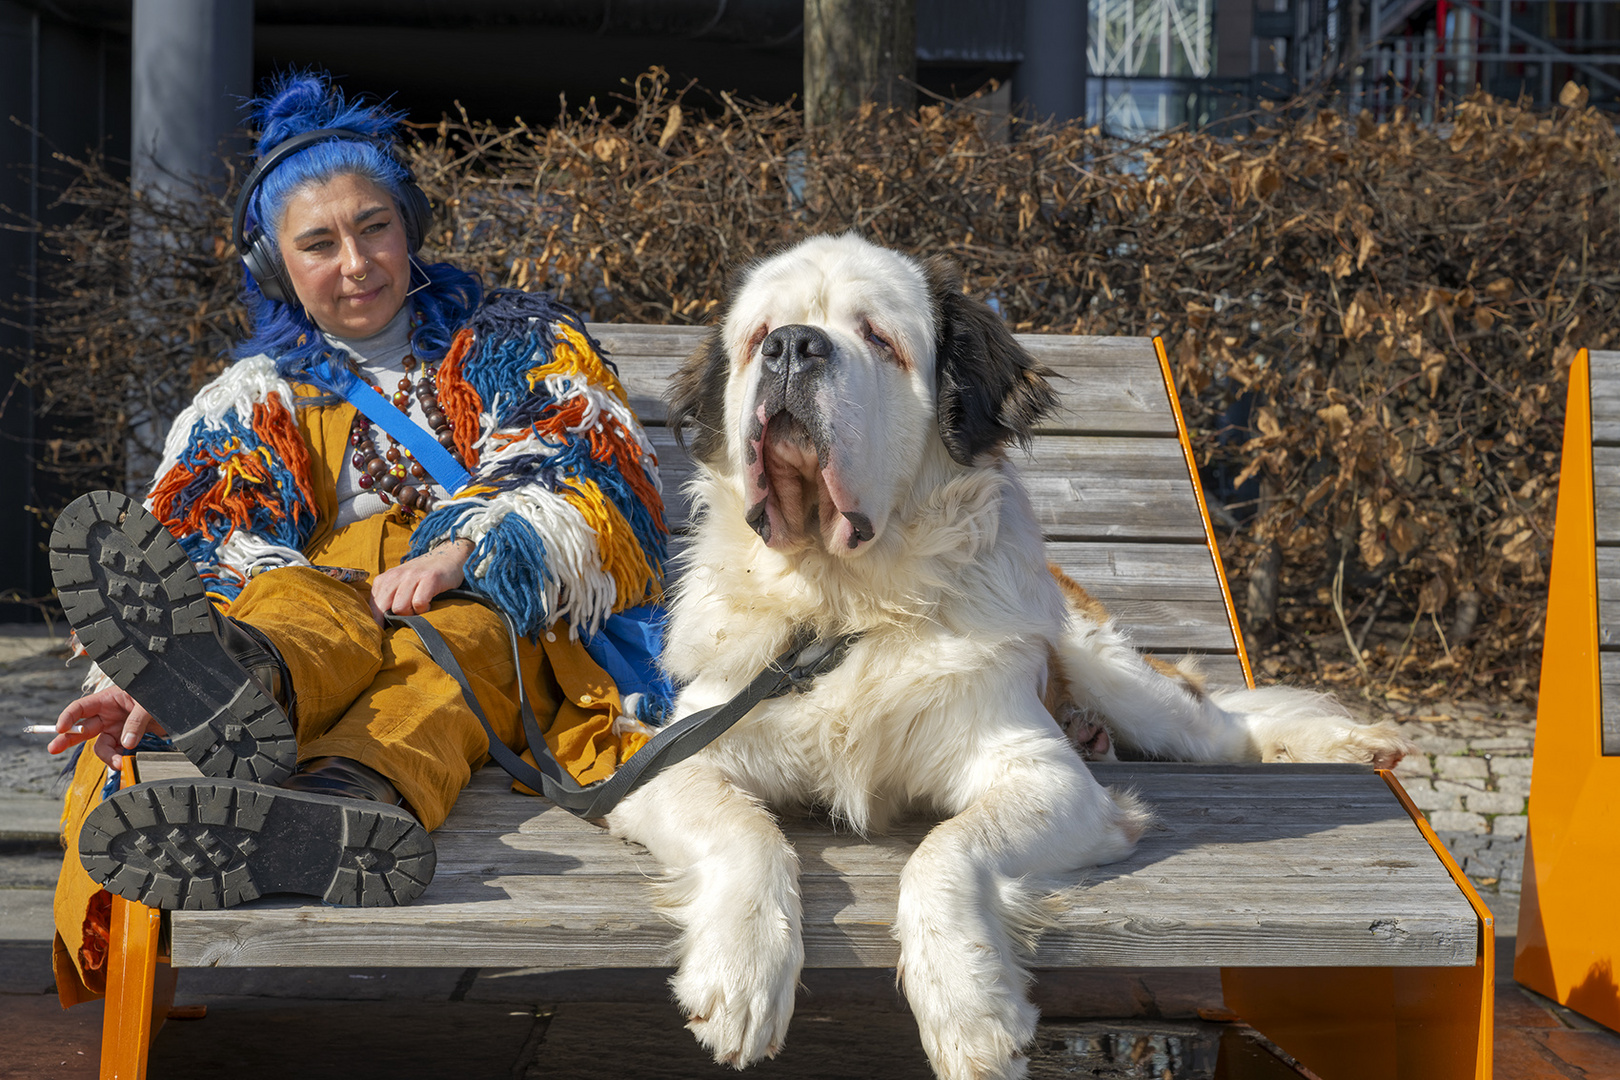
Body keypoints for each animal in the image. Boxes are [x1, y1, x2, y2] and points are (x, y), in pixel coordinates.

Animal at [602, 236, 1412, 1080]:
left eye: (879, 339)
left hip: (1119, 675)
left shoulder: (1047, 779)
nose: (795, 345)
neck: (849, 605)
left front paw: (972, 1012)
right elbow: (741, 829)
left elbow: (946, 852)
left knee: (1221, 728)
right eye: (762, 335)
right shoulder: (666, 759)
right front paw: (740, 974)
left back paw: (1350, 743)